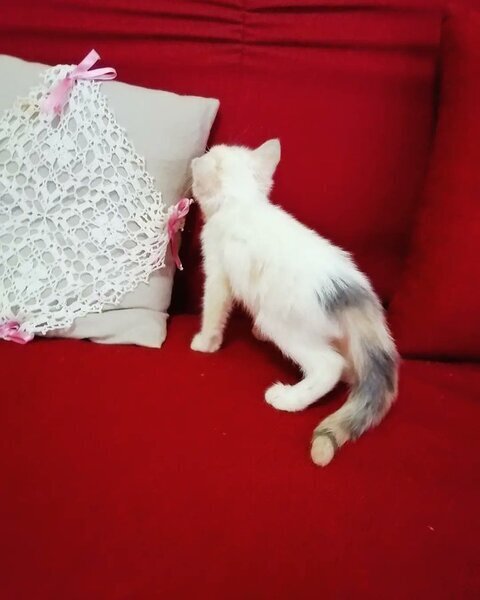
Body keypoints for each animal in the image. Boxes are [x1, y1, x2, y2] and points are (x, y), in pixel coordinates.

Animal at [190, 139, 398, 466]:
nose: (194, 164)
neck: (244, 202)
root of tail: (351, 292)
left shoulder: (217, 269)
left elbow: (213, 307)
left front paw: (205, 342)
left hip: (280, 322)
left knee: (330, 365)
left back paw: (289, 398)